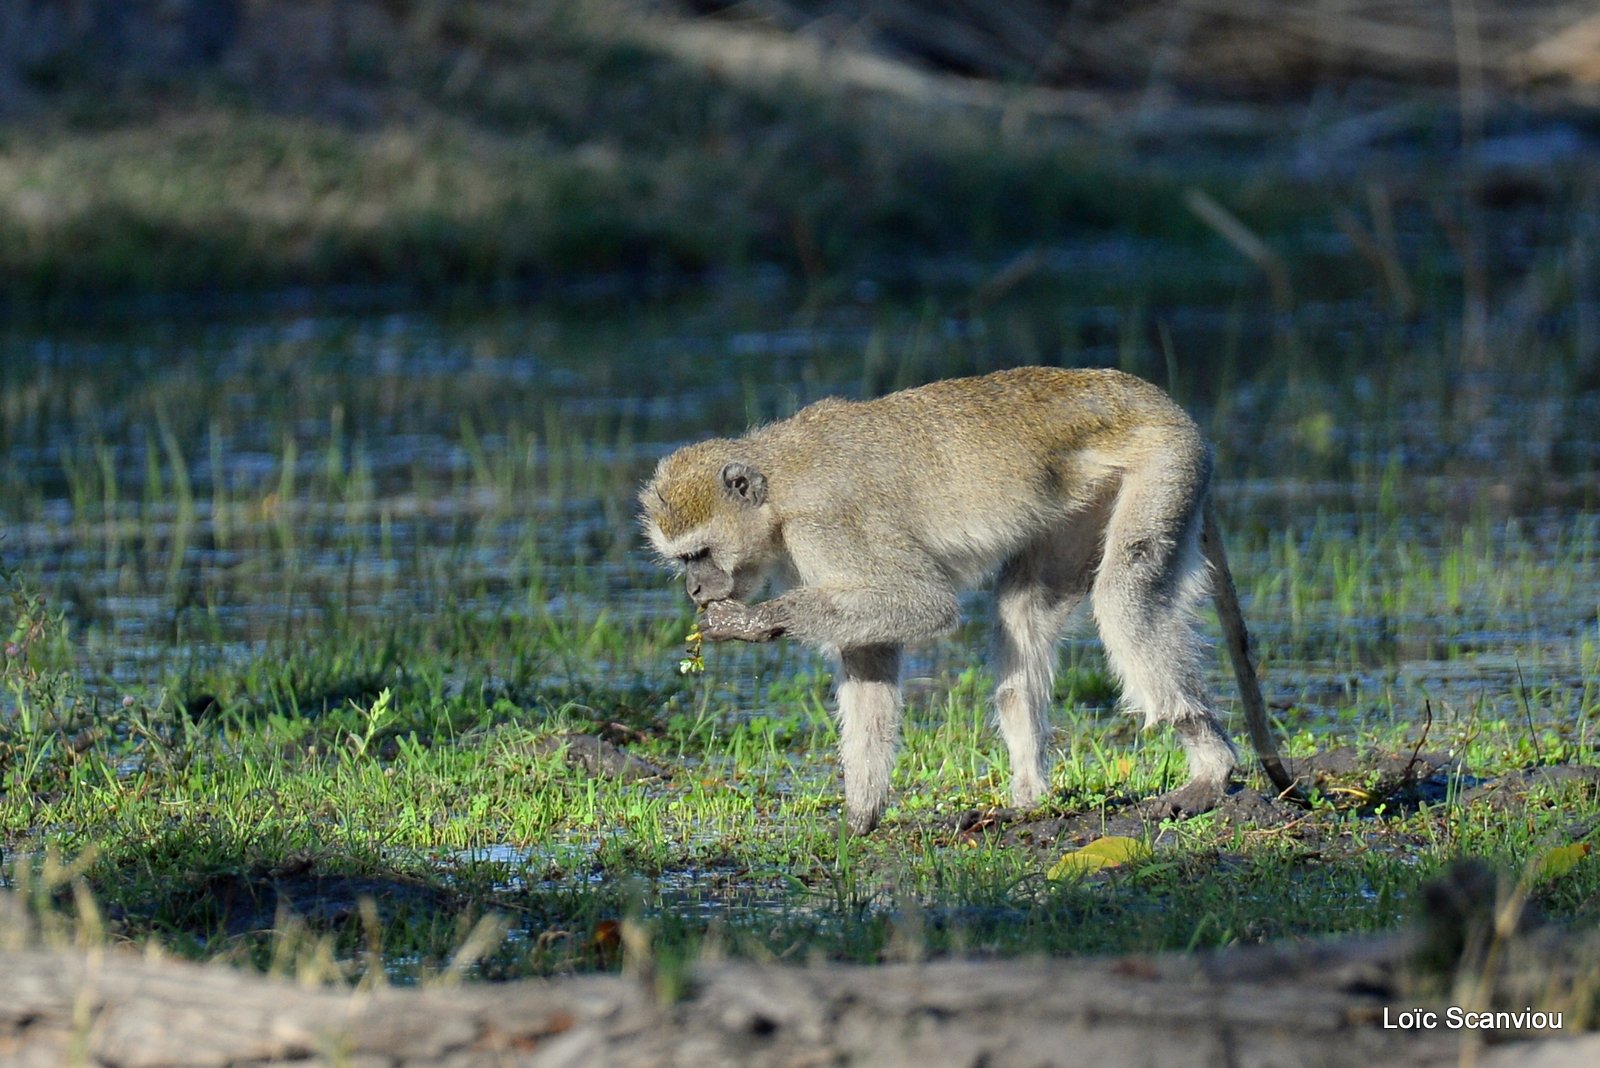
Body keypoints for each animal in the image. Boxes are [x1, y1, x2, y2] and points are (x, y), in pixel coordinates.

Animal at [636, 367, 1299, 831]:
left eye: (696, 555)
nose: (695, 588)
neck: (777, 489)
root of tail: (1159, 401)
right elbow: (872, 655)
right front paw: (860, 816)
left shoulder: (827, 526)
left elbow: (923, 602)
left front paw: (750, 622)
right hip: (1089, 497)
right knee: (1024, 607)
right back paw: (1028, 799)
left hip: (1165, 466)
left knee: (1123, 597)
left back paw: (1211, 772)